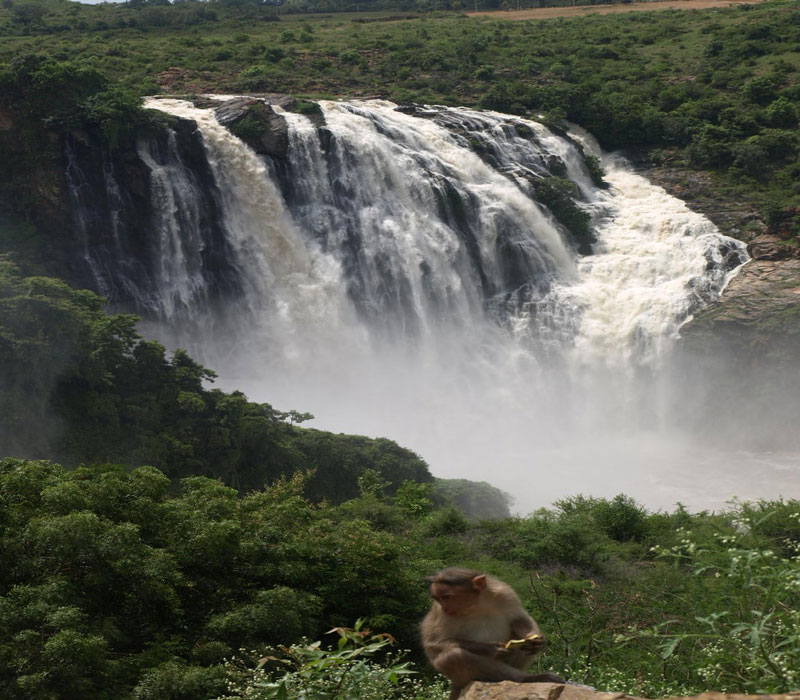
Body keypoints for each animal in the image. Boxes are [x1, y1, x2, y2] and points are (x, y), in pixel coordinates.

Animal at [422, 568, 564, 700]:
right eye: (438, 598)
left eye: (446, 597)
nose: (445, 607)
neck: (476, 604)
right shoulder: (440, 612)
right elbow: (434, 643)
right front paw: (491, 649)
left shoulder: (505, 593)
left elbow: (518, 618)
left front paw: (536, 640)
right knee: (453, 656)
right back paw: (526, 679)